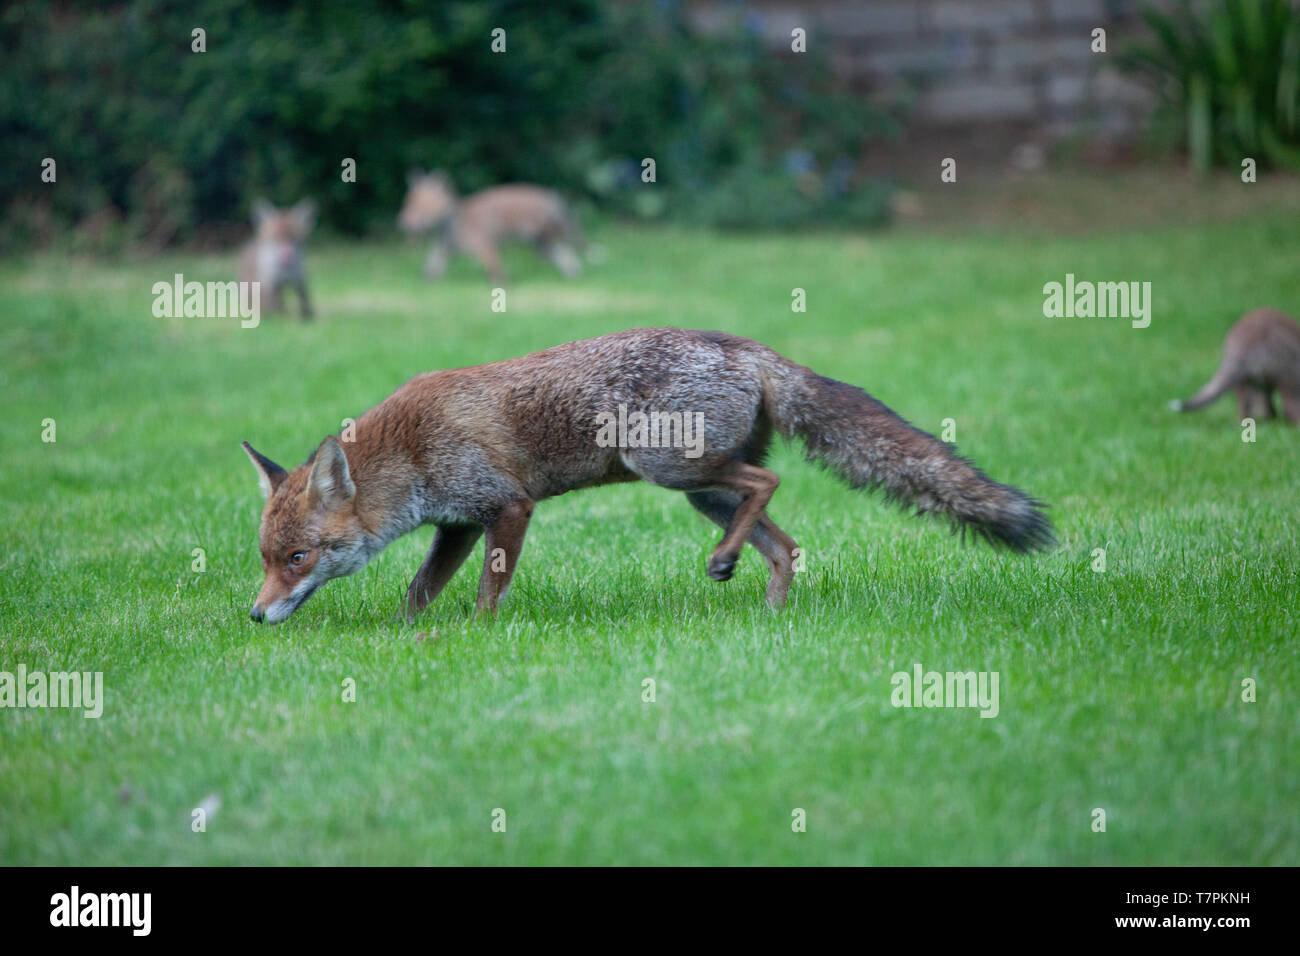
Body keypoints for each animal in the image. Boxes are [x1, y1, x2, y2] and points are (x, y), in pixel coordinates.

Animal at [244, 329, 1055, 629]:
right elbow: (417, 593)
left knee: (767, 483)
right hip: (700, 491)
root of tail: (747, 346)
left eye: (298, 558)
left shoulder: (507, 507)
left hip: (664, 466)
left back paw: (726, 564)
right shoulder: (456, 524)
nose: (254, 614)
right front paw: (411, 638)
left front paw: (477, 636)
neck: (410, 450)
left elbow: (485, 593)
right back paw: (770, 619)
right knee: (785, 544)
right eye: (265, 559)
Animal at [392, 170, 582, 282]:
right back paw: (574, 276)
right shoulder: (445, 249)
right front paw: (424, 283)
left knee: (569, 253)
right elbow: (431, 267)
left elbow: (496, 271)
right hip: (541, 242)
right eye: (407, 202)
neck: (449, 221)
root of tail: (551, 196)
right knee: (567, 256)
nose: (401, 222)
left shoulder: (485, 246)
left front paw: (502, 285)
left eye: (417, 206)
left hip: (544, 239)